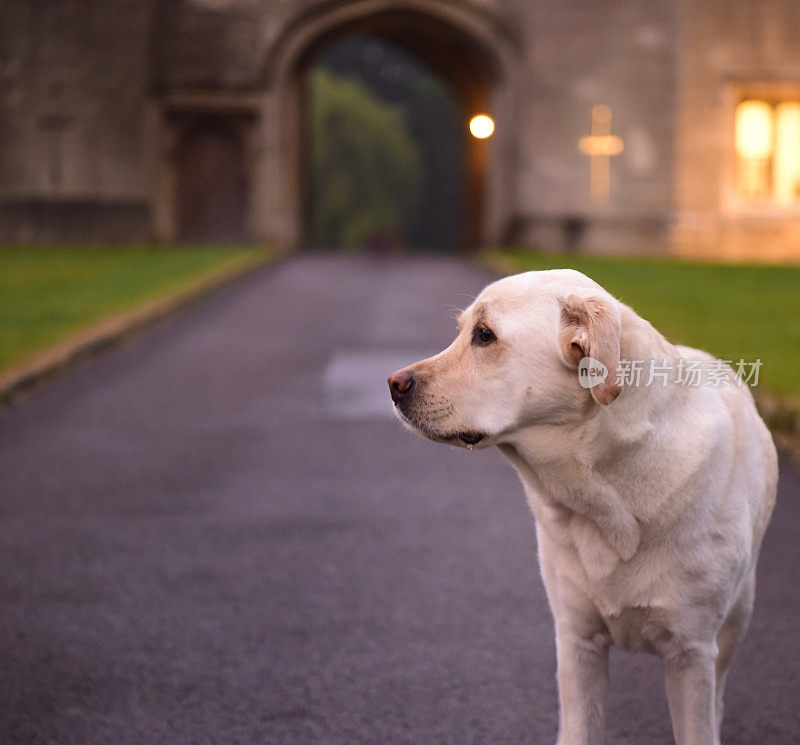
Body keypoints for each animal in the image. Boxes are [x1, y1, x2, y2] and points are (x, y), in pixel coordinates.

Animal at [388, 270, 776, 744]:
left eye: (485, 336)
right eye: (462, 331)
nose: (393, 384)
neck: (608, 499)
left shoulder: (692, 653)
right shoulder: (576, 642)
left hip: (735, 622)